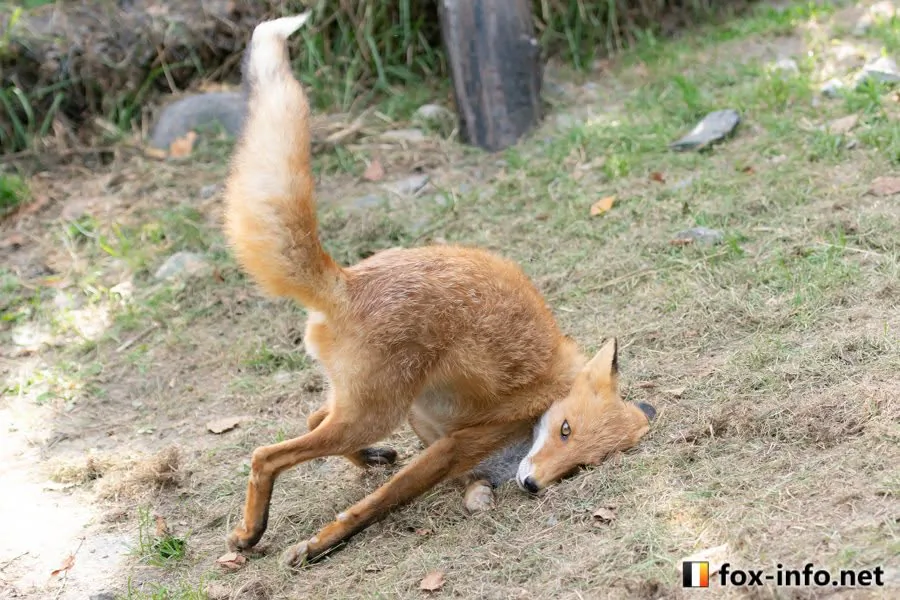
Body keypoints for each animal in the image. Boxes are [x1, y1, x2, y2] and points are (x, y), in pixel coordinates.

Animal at [223, 13, 656, 567]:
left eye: (583, 463)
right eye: (564, 430)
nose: (532, 484)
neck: (550, 394)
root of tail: (350, 279)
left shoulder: (437, 435)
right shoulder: (454, 447)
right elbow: (376, 506)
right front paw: (323, 543)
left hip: (368, 407)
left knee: (313, 417)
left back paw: (366, 459)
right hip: (372, 413)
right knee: (266, 455)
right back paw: (251, 530)